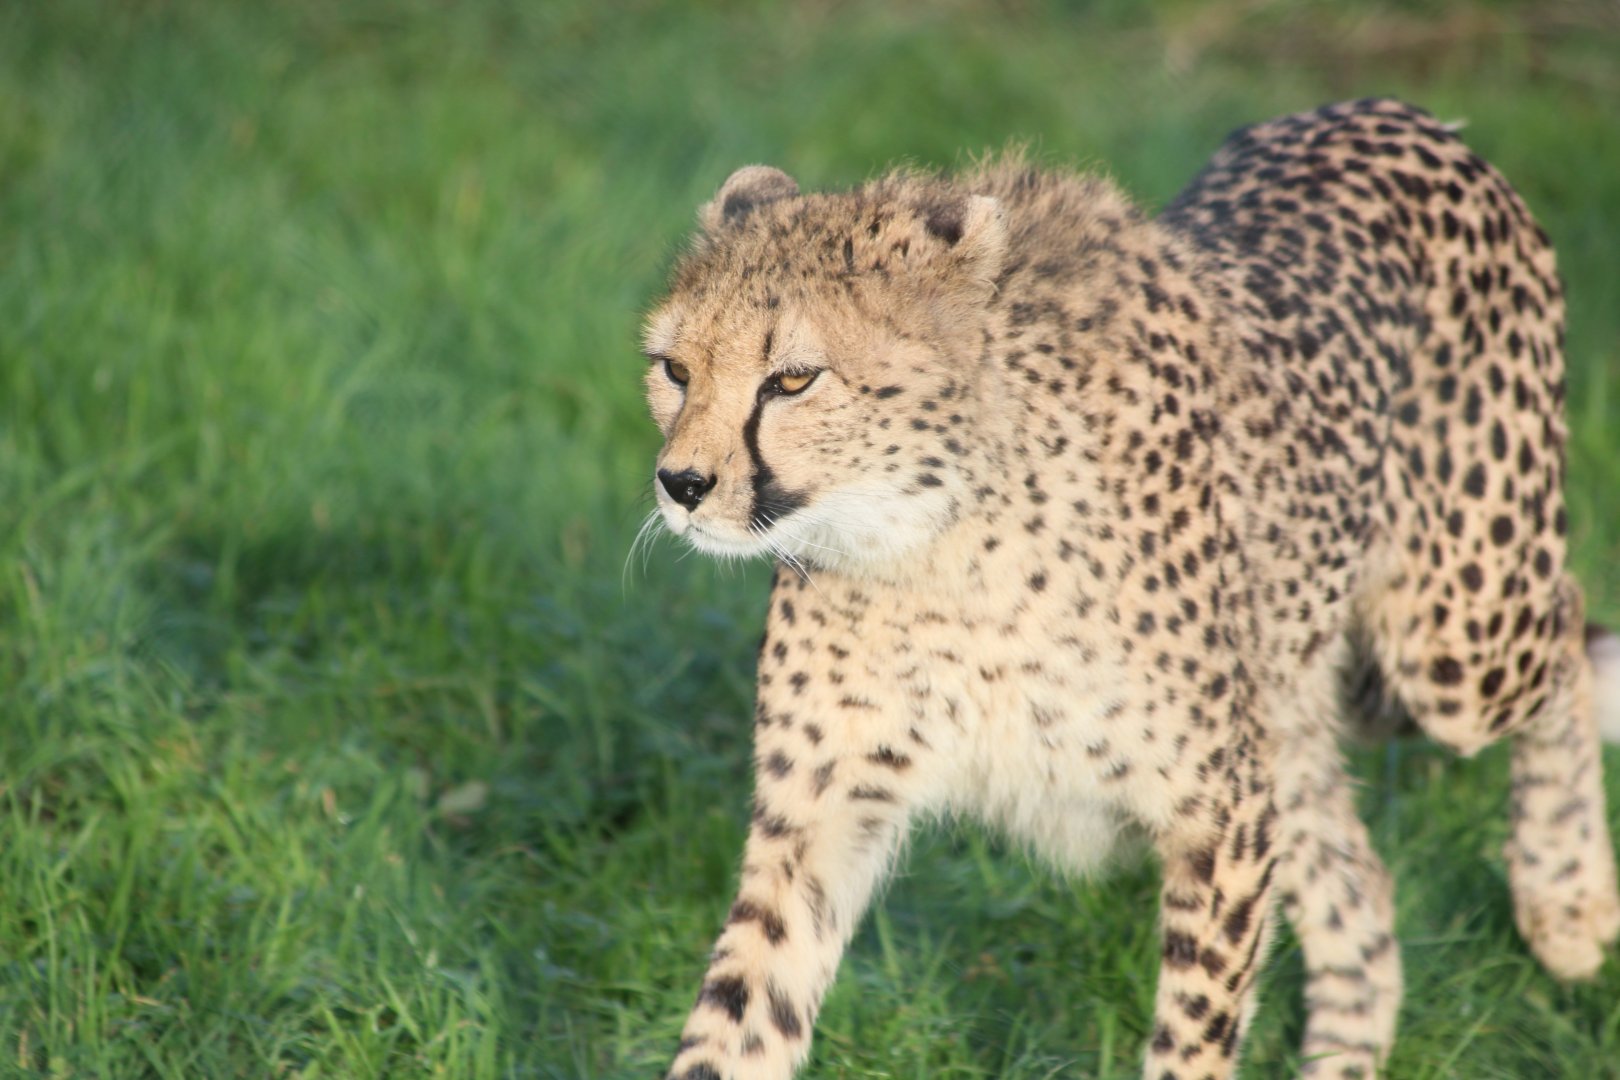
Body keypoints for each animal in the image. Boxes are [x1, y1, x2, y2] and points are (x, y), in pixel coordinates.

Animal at [639, 99, 1620, 1079]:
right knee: (1363, 888)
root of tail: (1385, 111)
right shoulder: (818, 818)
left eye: (793, 378)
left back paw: (1565, 897)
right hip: (1300, 693)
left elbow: (1193, 1033)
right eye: (675, 370)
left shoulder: (1220, 812)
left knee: (1566, 632)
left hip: (1451, 644)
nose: (681, 484)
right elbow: (739, 1019)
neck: (934, 543)